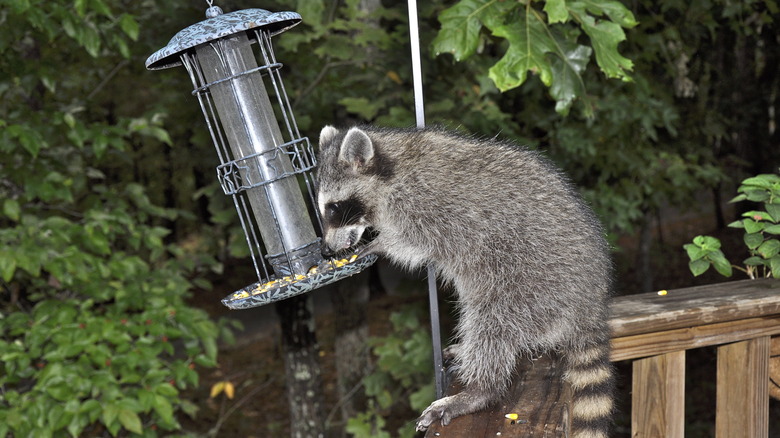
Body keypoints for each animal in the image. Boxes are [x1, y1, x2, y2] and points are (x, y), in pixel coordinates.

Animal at [316, 125, 616, 436]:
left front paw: (381, 245)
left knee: (494, 323)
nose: (325, 250)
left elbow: (418, 242)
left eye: (334, 208)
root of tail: (591, 300)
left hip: (534, 281)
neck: (392, 171)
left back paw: (481, 389)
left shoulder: (433, 208)